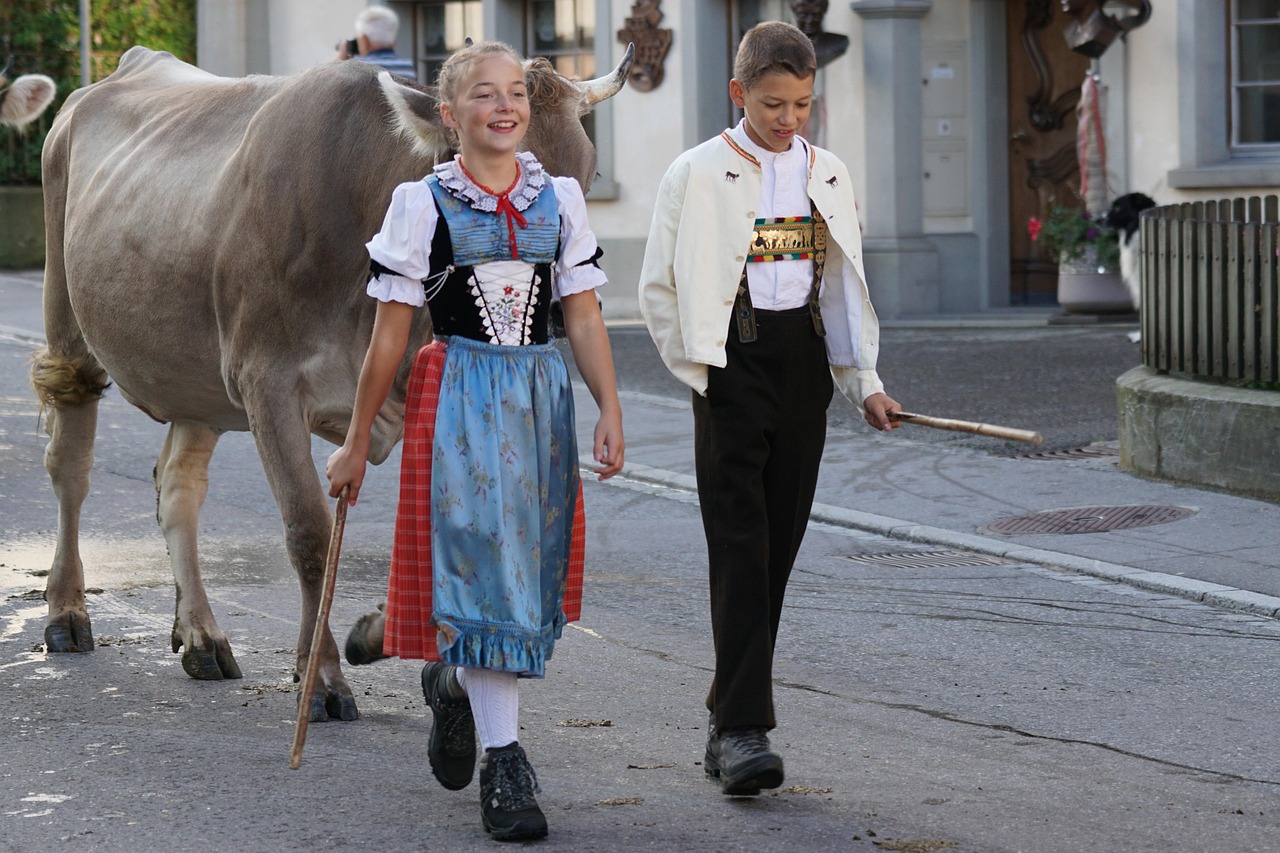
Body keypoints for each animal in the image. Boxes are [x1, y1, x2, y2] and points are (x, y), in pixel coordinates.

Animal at [30, 44, 629, 717]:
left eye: (587, 176)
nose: (556, 306)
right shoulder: (267, 382)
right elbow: (310, 532)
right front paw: (320, 678)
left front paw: (369, 635)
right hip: (69, 322)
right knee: (71, 465)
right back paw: (66, 613)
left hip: (198, 378)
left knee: (177, 486)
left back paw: (202, 637)